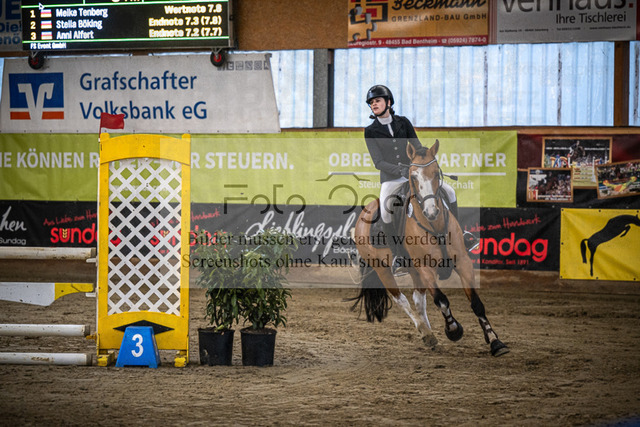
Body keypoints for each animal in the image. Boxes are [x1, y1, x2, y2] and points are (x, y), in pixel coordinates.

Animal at [351, 140, 509, 357]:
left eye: (436, 173)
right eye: (413, 176)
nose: (431, 212)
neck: (434, 225)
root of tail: (364, 214)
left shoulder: (463, 263)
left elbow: (476, 303)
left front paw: (495, 341)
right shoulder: (426, 267)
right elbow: (441, 300)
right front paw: (453, 329)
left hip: (413, 270)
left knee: (418, 299)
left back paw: (430, 335)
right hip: (383, 270)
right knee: (402, 300)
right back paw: (426, 333)